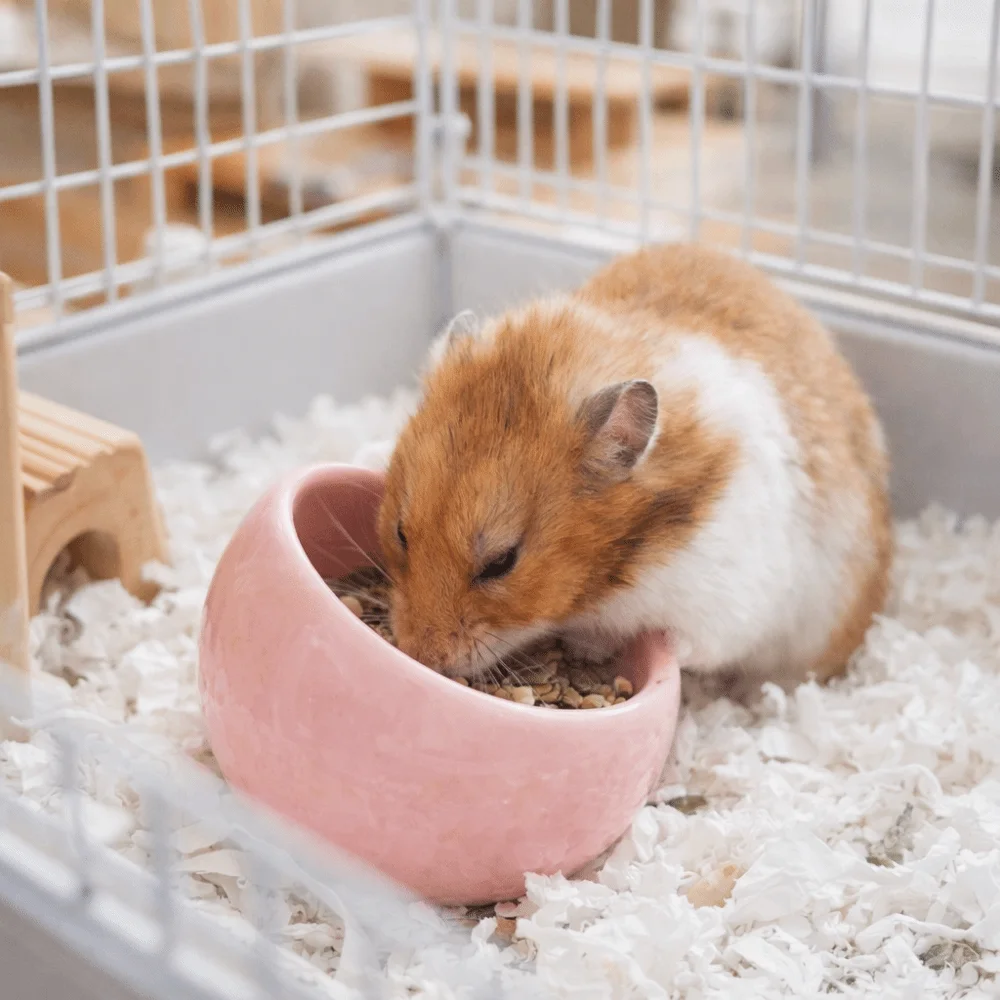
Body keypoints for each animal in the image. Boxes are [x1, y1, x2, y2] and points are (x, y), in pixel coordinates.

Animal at [377, 244, 892, 689]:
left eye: (502, 562)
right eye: (401, 533)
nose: (420, 653)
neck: (618, 570)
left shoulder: (723, 601)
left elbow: (687, 642)